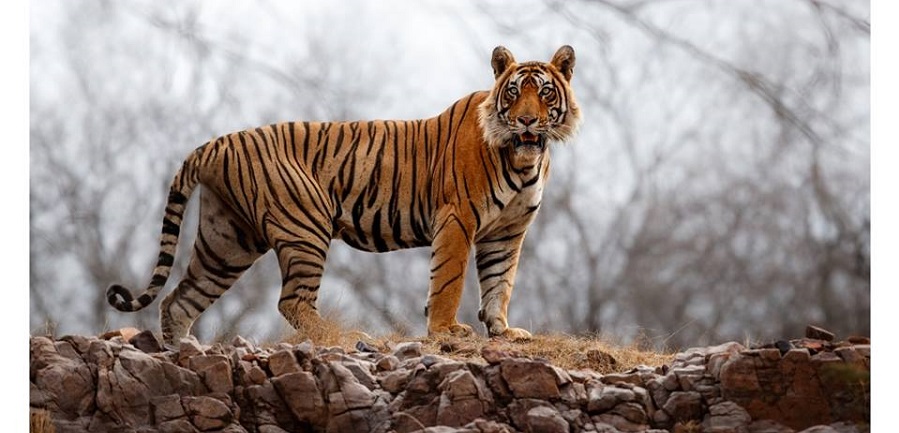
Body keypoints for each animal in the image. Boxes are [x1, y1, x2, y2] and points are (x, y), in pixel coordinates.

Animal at [107, 45, 584, 344]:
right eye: (513, 92)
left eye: (544, 93)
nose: (526, 121)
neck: (525, 160)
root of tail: (214, 144)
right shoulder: (458, 219)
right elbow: (449, 281)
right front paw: (447, 331)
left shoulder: (507, 232)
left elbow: (500, 283)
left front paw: (503, 331)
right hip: (304, 226)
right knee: (291, 301)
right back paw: (345, 336)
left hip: (227, 242)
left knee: (179, 300)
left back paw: (182, 352)